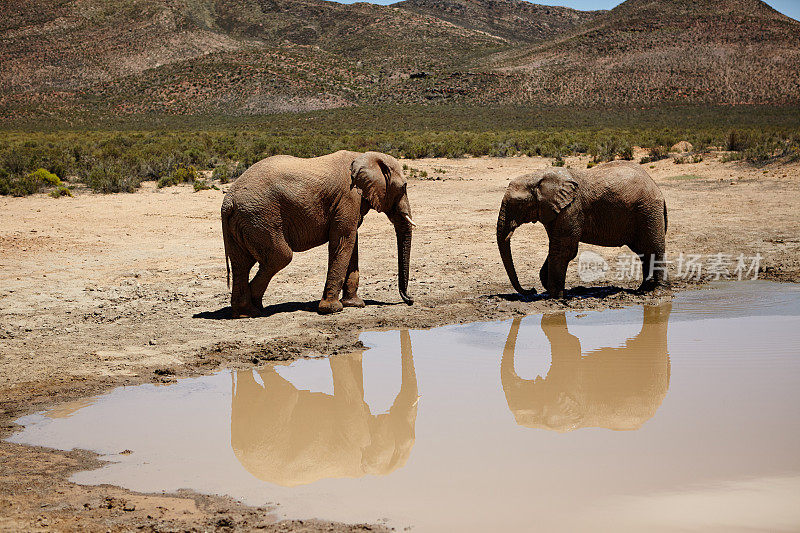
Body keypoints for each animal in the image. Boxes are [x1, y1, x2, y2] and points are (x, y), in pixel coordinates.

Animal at [222, 150, 416, 316]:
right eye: (404, 187)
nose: (410, 300)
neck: (364, 156)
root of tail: (228, 202)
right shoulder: (348, 197)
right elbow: (343, 241)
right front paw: (332, 309)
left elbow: (351, 243)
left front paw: (354, 304)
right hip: (261, 218)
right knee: (280, 257)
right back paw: (254, 309)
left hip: (244, 221)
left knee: (241, 264)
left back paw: (244, 312)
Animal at [496, 160, 664, 298]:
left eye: (518, 205)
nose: (532, 290)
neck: (537, 176)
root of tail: (654, 184)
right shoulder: (553, 211)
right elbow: (556, 248)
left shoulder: (571, 208)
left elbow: (564, 250)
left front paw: (556, 297)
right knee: (644, 252)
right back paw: (643, 290)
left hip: (648, 210)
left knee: (653, 249)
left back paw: (657, 292)